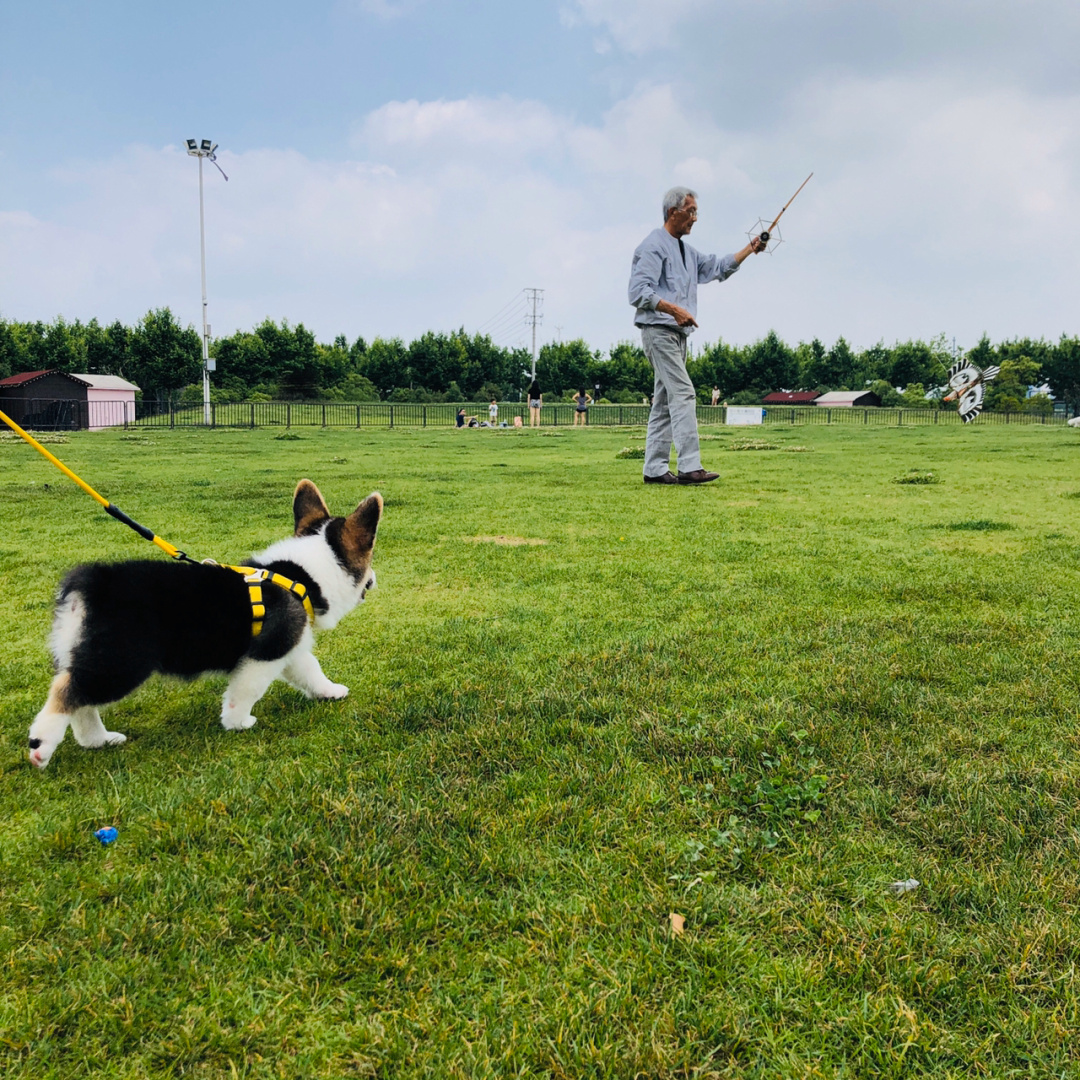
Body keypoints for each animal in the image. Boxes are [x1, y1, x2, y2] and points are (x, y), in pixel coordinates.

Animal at [27, 479, 382, 768]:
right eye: (370, 561)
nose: (375, 579)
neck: (303, 575)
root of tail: (91, 584)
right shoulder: (265, 654)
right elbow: (247, 689)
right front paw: (238, 722)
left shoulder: (288, 648)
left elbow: (311, 671)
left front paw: (331, 692)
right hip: (121, 663)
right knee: (66, 692)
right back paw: (41, 746)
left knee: (80, 700)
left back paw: (97, 740)